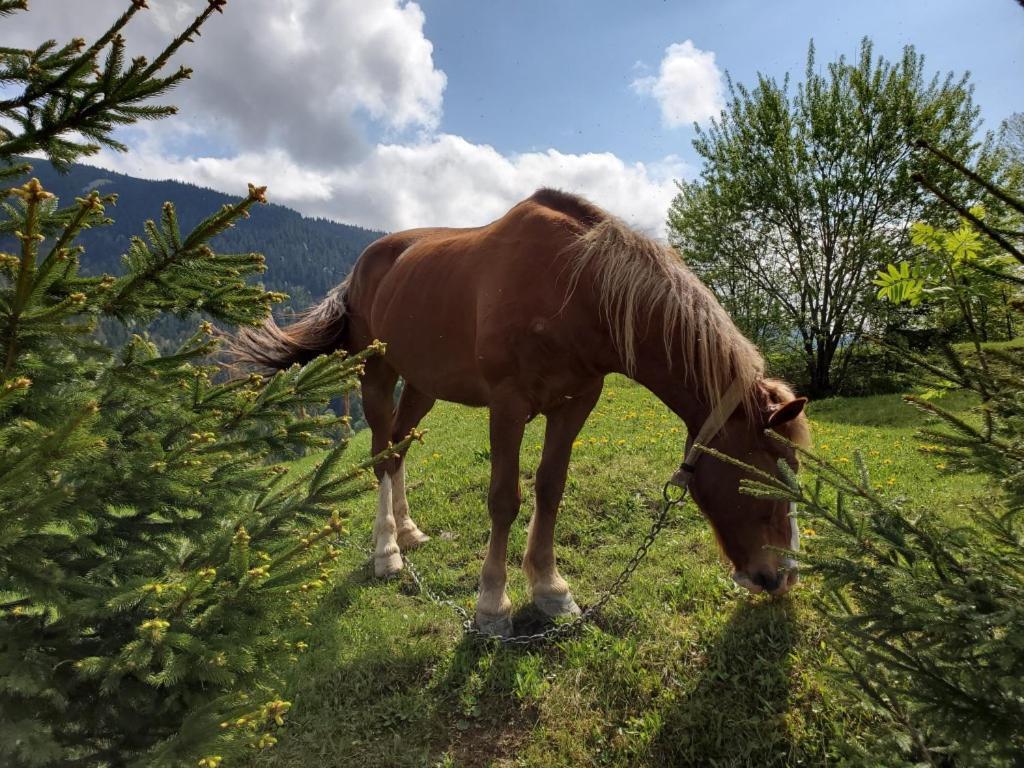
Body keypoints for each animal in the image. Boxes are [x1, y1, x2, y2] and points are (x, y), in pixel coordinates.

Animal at [230, 188, 806, 638]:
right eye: (761, 481)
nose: (780, 577)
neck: (577, 286)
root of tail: (362, 267)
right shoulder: (507, 407)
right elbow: (504, 499)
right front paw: (492, 605)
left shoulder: (575, 405)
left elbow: (550, 488)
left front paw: (551, 589)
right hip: (378, 373)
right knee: (381, 454)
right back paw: (387, 550)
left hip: (422, 385)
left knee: (400, 446)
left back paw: (409, 530)